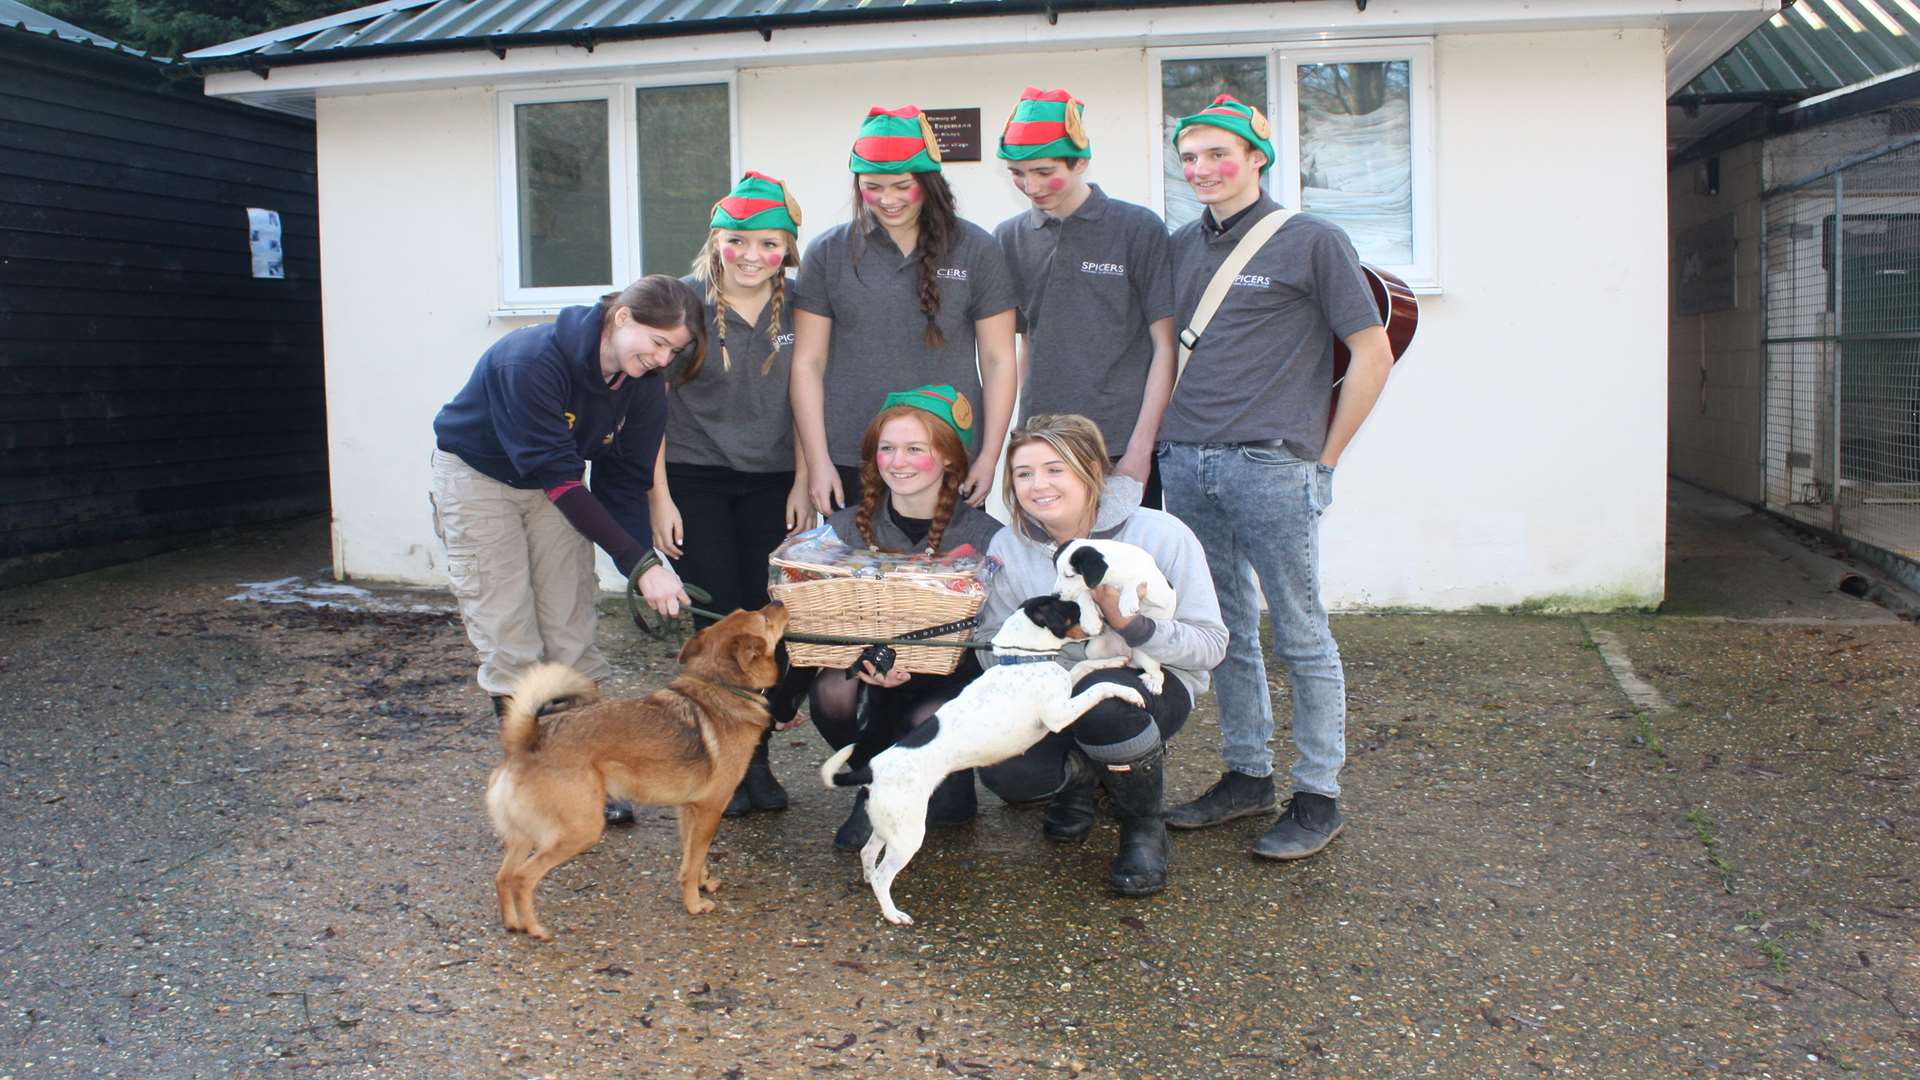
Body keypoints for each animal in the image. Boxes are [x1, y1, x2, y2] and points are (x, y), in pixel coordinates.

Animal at [487, 599, 787, 937]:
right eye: (764, 619)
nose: (778, 601)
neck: (721, 685)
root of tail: (525, 740)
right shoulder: (710, 811)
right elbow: (694, 861)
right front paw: (694, 904)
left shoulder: (689, 811)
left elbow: (691, 860)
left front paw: (702, 884)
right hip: (580, 830)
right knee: (522, 877)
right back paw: (535, 928)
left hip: (524, 835)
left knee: (503, 876)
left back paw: (512, 923)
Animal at [821, 591, 1144, 922]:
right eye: (1073, 608)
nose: (1104, 617)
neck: (1022, 658)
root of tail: (872, 768)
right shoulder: (1058, 715)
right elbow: (1099, 688)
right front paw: (1128, 692)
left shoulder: (1066, 690)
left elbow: (1085, 668)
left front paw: (1114, 660)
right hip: (908, 833)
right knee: (884, 874)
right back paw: (893, 914)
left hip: (889, 824)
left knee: (867, 853)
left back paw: (867, 879)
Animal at [1044, 534, 1175, 687]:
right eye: (1057, 572)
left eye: (1070, 575)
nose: (1054, 596)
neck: (1113, 575)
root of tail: (1127, 652)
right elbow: (1084, 594)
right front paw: (1090, 621)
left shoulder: (1162, 594)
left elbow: (1135, 579)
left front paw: (1127, 601)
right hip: (1093, 650)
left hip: (1145, 655)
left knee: (1159, 674)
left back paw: (1154, 683)